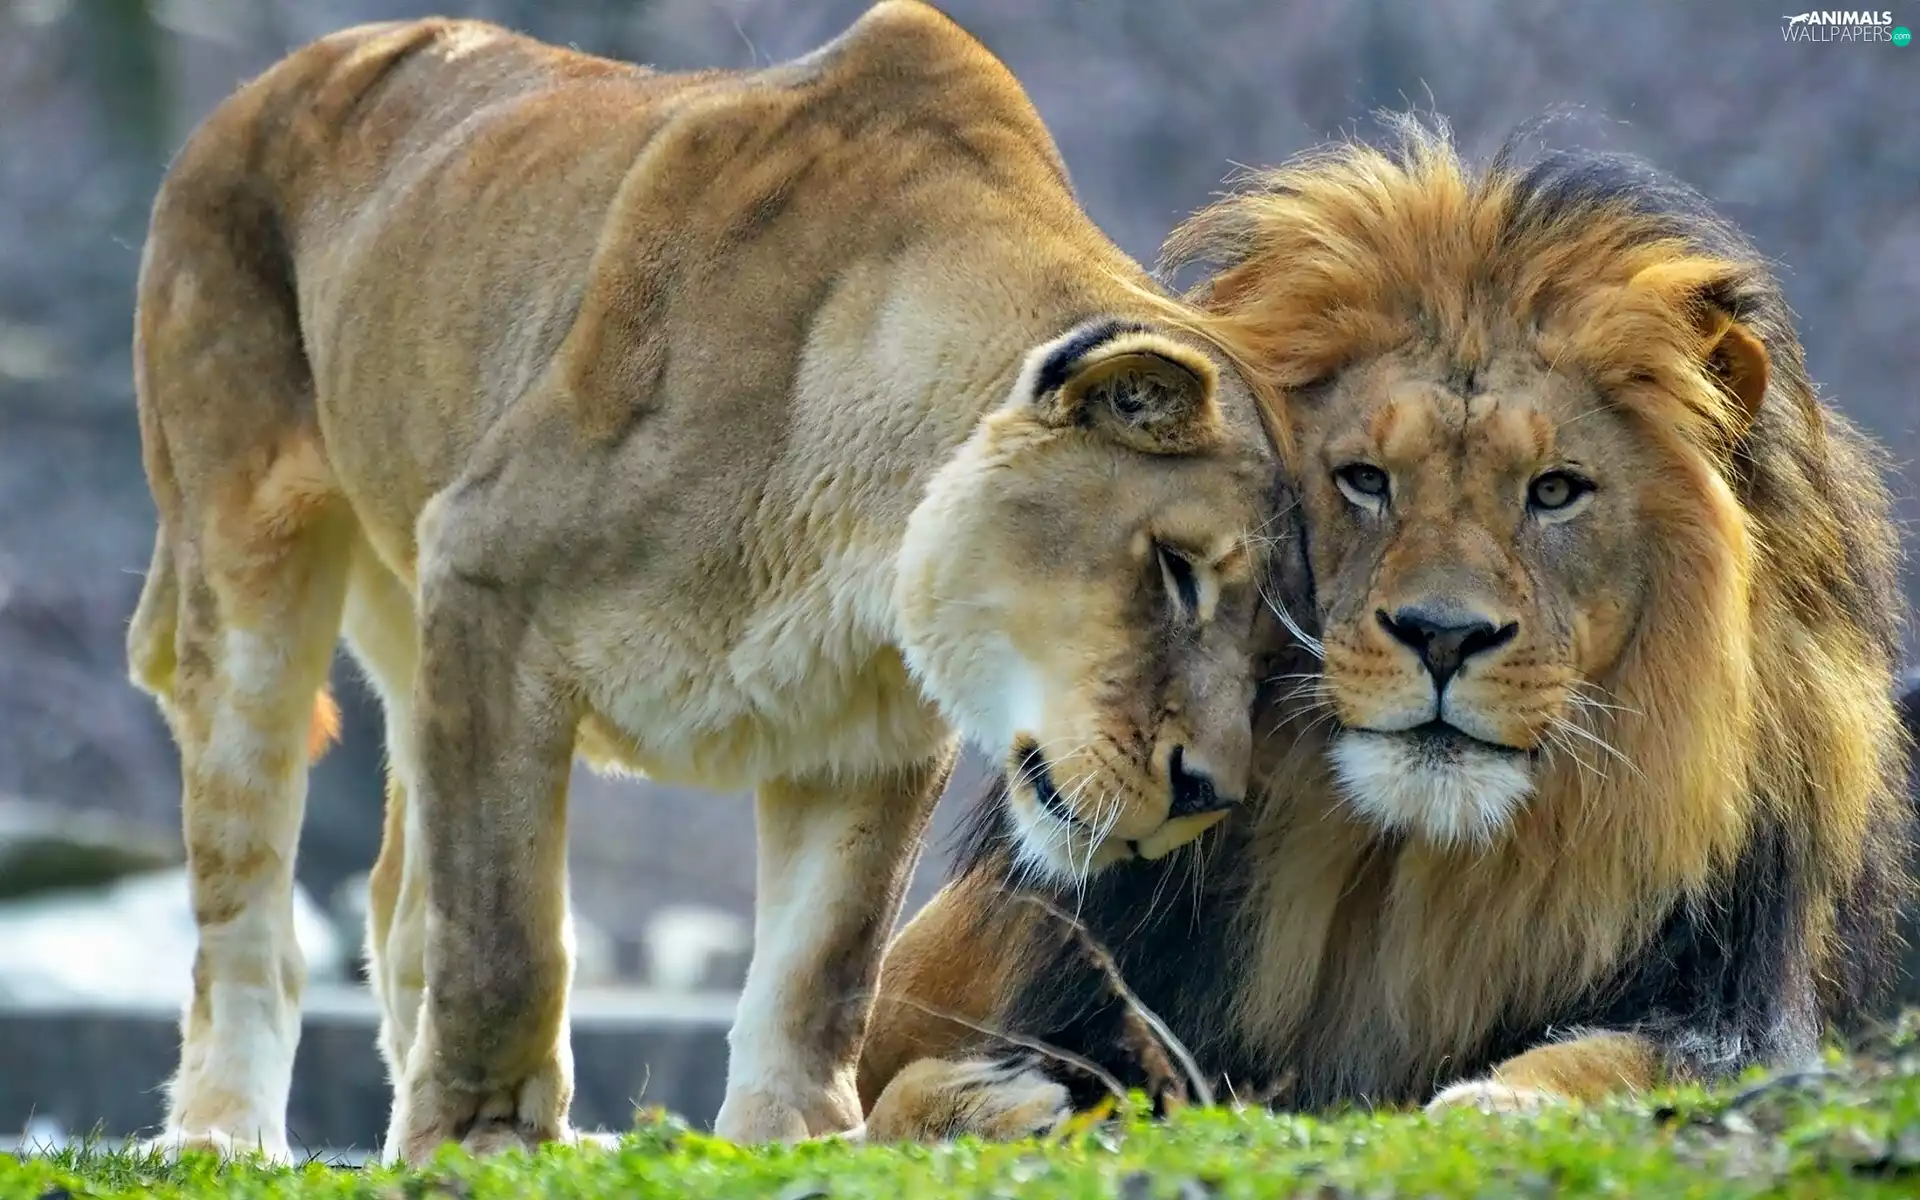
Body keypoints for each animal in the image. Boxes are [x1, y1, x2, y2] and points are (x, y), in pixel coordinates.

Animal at [123, 2, 1286, 1164]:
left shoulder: (873, 725)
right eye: (1177, 570)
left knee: (397, 901)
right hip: (247, 568)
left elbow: (825, 959)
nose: (1208, 794)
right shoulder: (485, 576)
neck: (854, 517)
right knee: (248, 907)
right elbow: (503, 937)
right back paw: (222, 1135)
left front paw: (801, 1135)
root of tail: (272, 81)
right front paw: (488, 1139)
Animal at [856, 116, 1913, 1140]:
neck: (1395, 879)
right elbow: (871, 1099)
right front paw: (987, 1102)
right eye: (1366, 480)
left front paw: (1502, 1105)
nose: (1442, 636)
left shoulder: (1748, 1020)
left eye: (1555, 492)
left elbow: (1626, 1061)